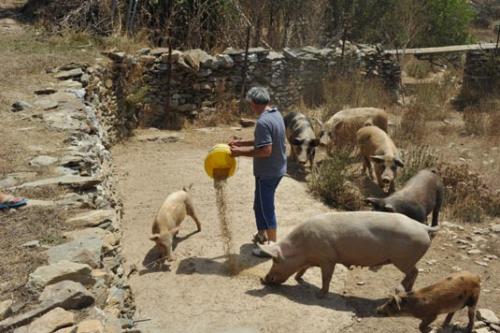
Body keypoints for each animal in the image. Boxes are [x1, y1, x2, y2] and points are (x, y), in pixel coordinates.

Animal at [258, 213, 438, 298]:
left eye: (275, 260)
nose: (264, 279)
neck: (303, 247)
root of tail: (423, 227)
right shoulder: (314, 258)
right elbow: (304, 268)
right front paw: (298, 278)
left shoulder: (328, 258)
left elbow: (326, 277)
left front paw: (320, 295)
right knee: (415, 272)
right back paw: (407, 290)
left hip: (403, 259)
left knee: (414, 272)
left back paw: (402, 290)